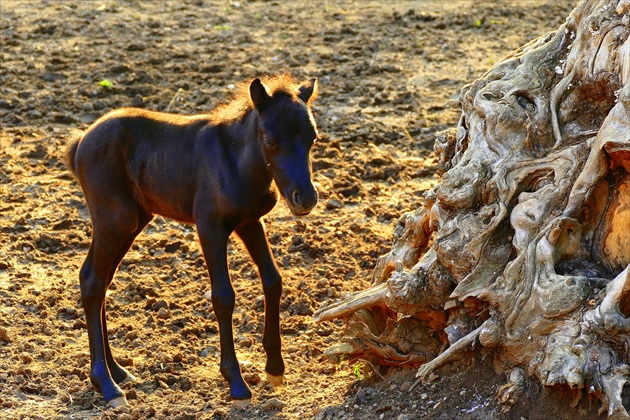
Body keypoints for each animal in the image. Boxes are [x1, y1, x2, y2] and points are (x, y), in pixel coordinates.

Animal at [68, 75, 320, 406]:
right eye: (270, 142)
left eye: (312, 138)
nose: (305, 198)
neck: (235, 161)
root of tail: (81, 142)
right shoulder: (210, 226)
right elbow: (223, 296)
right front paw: (236, 382)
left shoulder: (249, 222)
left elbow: (273, 280)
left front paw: (275, 368)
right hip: (114, 221)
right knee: (94, 282)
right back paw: (107, 384)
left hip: (131, 222)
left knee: (98, 280)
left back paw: (118, 371)